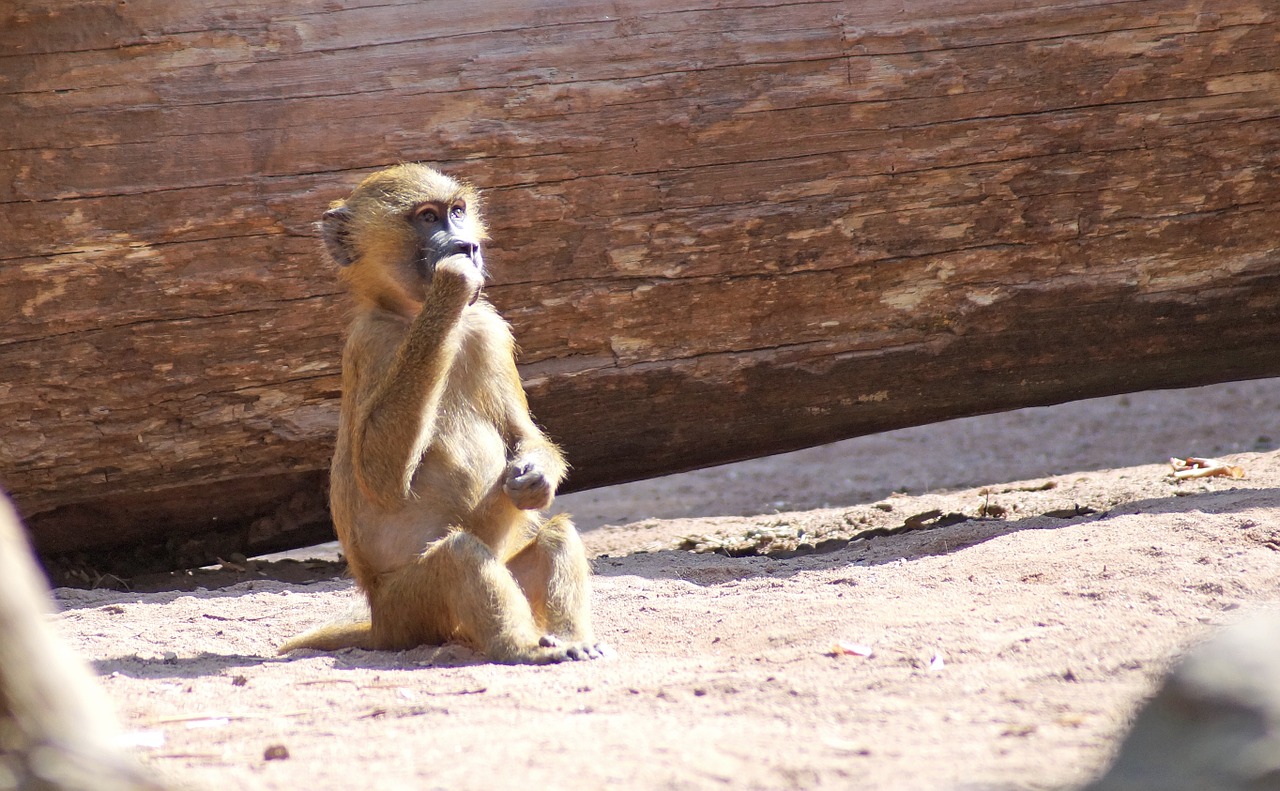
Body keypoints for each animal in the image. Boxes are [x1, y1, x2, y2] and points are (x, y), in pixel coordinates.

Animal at [277, 163, 606, 660]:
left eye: (457, 211)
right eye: (428, 218)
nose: (467, 246)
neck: (412, 315)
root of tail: (379, 621)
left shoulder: (489, 330)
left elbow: (522, 434)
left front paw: (536, 477)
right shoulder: (370, 343)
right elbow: (378, 477)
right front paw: (451, 283)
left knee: (555, 536)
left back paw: (571, 639)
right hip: (412, 608)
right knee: (459, 556)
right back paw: (523, 648)